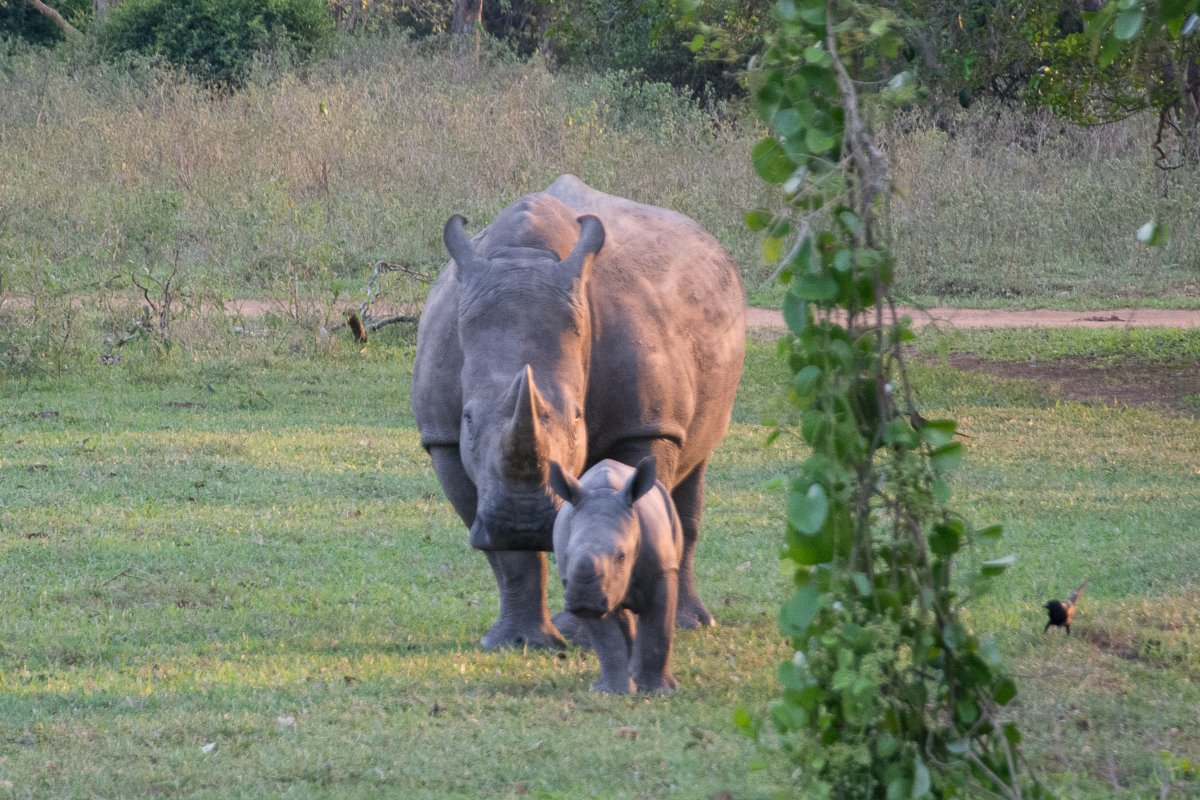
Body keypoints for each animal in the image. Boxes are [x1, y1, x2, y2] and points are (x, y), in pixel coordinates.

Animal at [549, 455, 681, 695]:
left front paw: (657, 691)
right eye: (566, 554)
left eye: (621, 556)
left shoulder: (662, 571)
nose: (583, 599)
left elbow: (659, 629)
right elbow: (606, 638)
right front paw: (612, 692)